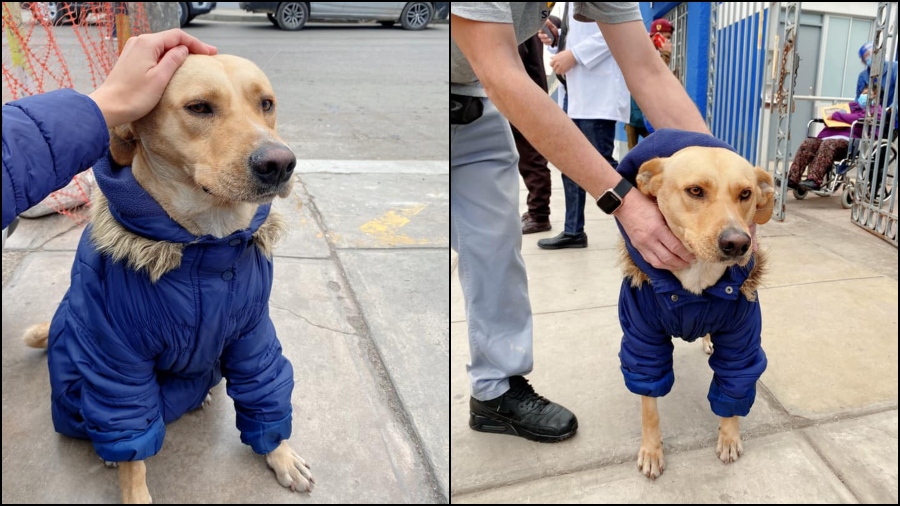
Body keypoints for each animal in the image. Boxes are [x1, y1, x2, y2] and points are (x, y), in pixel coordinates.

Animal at [24, 54, 312, 502]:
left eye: (266, 104)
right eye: (199, 107)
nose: (280, 163)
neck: (209, 243)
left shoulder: (252, 334)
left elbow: (263, 390)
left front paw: (279, 452)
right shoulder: (118, 357)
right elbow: (132, 446)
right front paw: (134, 490)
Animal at [620, 145, 772, 478]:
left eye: (746, 193)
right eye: (695, 191)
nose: (738, 243)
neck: (698, 278)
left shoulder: (741, 341)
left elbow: (733, 387)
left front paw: (729, 436)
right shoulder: (643, 340)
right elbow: (649, 406)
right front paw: (652, 450)